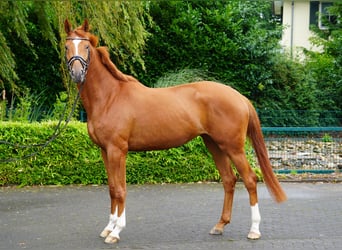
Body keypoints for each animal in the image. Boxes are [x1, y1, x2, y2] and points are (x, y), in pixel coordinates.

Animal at [63, 20, 286, 244]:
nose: (76, 74)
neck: (111, 97)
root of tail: (239, 97)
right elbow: (111, 189)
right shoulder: (105, 151)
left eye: (86, 47)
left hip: (233, 147)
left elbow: (120, 189)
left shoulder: (118, 150)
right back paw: (219, 225)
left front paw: (116, 232)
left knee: (250, 179)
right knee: (229, 180)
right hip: (214, 145)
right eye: (66, 47)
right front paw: (108, 228)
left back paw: (254, 230)